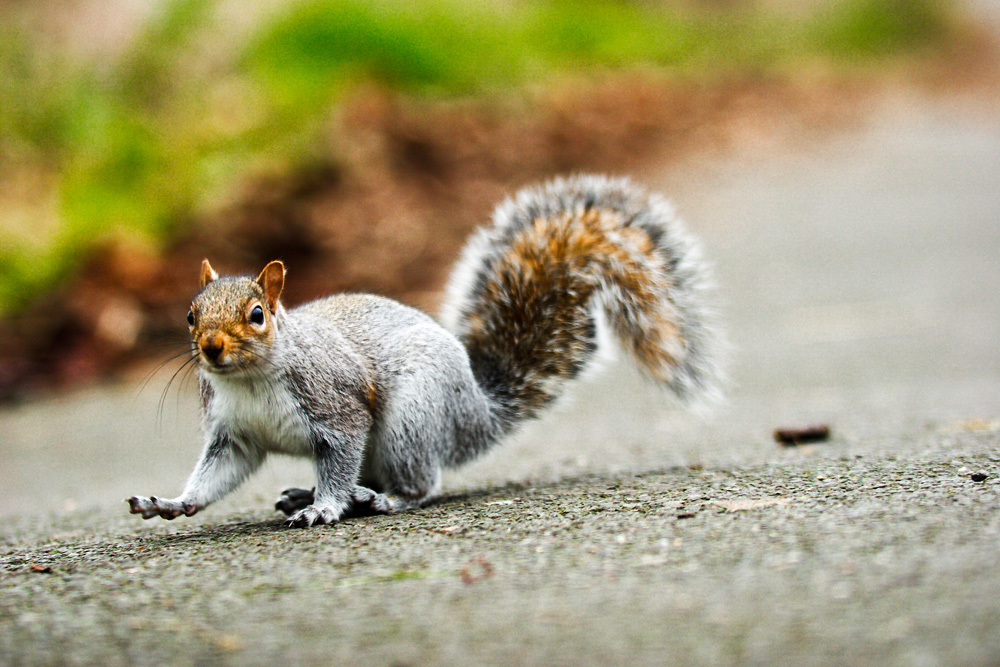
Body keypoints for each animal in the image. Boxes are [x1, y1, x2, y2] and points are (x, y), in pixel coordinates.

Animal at [128, 174, 723, 528]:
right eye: (190, 314)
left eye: (256, 315)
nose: (210, 347)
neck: (249, 380)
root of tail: (476, 412)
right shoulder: (235, 434)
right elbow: (218, 473)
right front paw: (173, 502)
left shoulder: (337, 410)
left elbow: (338, 458)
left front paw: (324, 508)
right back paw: (318, 492)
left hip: (411, 420)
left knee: (420, 481)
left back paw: (379, 499)